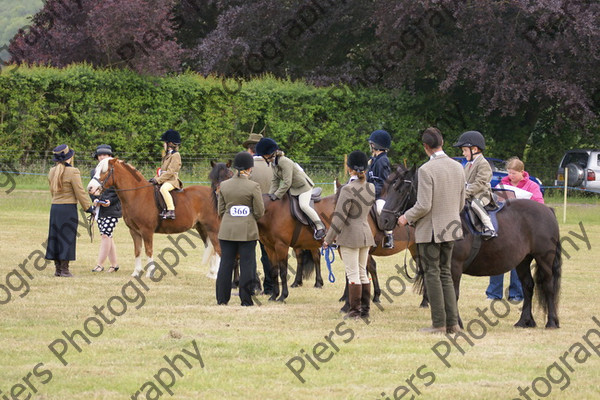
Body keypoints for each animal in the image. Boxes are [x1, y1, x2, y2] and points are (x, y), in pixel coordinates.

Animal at [88, 157, 221, 278]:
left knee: (218, 250)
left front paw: (149, 273)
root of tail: (215, 194)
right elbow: (137, 250)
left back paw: (216, 275)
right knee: (212, 249)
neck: (137, 194)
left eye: (104, 171)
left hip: (213, 229)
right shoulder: (134, 231)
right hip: (203, 229)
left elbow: (148, 250)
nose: (90, 188)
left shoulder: (146, 231)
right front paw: (136, 272)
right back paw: (211, 273)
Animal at [380, 166, 564, 328]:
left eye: (401, 190)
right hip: (523, 261)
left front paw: (456, 324)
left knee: (548, 286)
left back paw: (551, 322)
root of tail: (547, 209)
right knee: (528, 286)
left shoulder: (454, 266)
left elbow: (452, 293)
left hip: (544, 259)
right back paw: (524, 321)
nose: (384, 220)